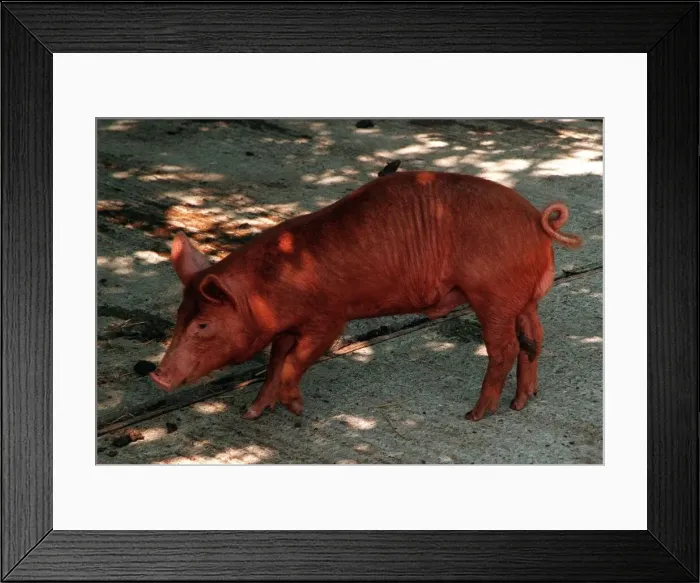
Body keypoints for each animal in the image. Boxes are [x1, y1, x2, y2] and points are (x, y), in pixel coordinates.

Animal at [150, 170, 582, 421]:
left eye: (203, 324)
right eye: (179, 315)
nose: (157, 376)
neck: (267, 289)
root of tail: (536, 220)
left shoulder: (330, 317)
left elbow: (295, 361)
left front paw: (296, 409)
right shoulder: (286, 327)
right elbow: (275, 361)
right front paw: (252, 413)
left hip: (492, 295)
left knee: (506, 347)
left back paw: (476, 415)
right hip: (522, 299)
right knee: (534, 338)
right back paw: (521, 402)